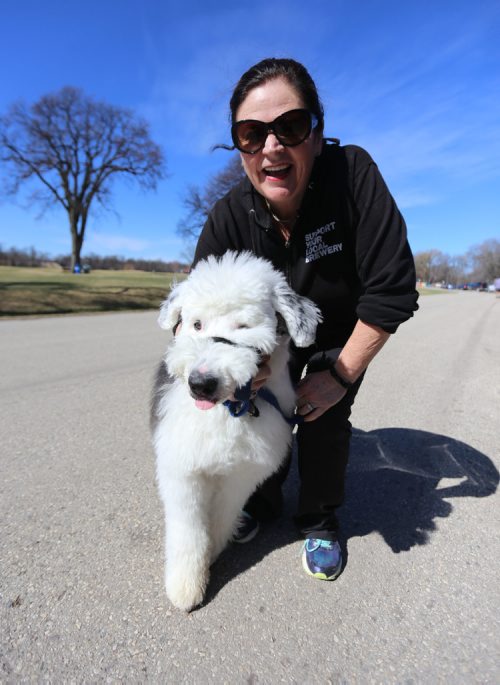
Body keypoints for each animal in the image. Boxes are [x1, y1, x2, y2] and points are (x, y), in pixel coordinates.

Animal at [151, 251, 320, 608]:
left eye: (244, 327)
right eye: (197, 324)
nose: (201, 383)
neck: (229, 410)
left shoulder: (243, 473)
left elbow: (221, 516)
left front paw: (212, 553)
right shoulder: (183, 469)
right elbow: (187, 529)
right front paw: (185, 586)